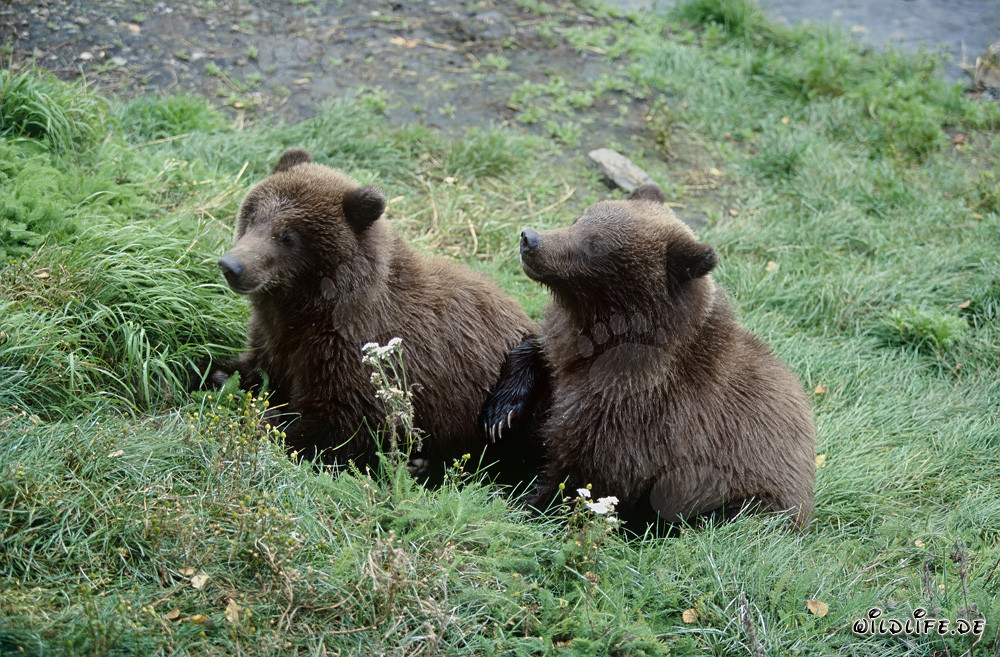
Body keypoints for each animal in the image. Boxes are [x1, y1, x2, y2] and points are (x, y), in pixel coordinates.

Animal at [213, 147, 540, 480]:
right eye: (253, 217)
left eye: (288, 236)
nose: (232, 265)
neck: (308, 311)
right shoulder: (276, 343)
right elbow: (246, 369)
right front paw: (215, 377)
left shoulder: (356, 359)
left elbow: (339, 429)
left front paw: (266, 421)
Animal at [483, 184, 816, 529]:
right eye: (580, 218)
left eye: (595, 244)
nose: (530, 238)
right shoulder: (568, 352)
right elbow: (539, 352)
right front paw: (502, 413)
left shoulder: (640, 417)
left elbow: (581, 472)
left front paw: (517, 501)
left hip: (752, 499)